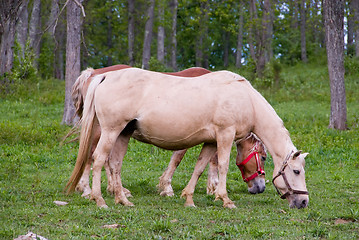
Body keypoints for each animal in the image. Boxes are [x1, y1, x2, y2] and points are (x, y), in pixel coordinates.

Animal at [66, 67, 310, 208]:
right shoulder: (225, 134)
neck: (245, 98)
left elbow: (200, 167)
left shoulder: (210, 141)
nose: (304, 201)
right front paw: (225, 199)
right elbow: (222, 165)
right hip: (108, 132)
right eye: (296, 171)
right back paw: (97, 199)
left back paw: (122, 199)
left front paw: (189, 198)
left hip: (122, 134)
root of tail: (103, 75)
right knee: (98, 159)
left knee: (114, 164)